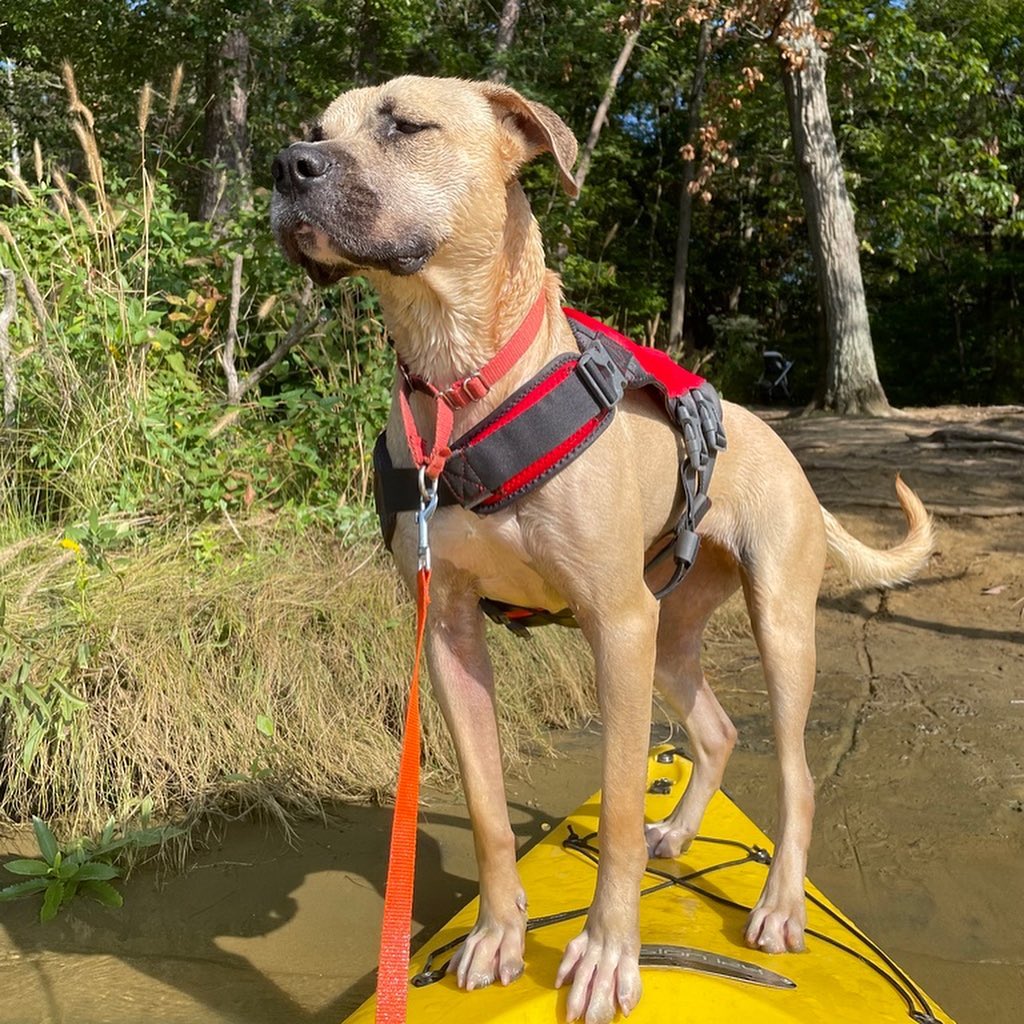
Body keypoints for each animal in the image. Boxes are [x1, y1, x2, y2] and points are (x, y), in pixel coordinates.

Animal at [272, 77, 937, 1024]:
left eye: (405, 124)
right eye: (317, 129)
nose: (288, 165)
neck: (462, 383)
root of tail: (785, 452)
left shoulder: (613, 626)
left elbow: (619, 807)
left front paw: (608, 954)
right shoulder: (450, 634)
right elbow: (487, 807)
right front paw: (497, 935)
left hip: (773, 626)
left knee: (795, 774)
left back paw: (777, 906)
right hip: (672, 632)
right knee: (717, 731)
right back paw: (683, 831)